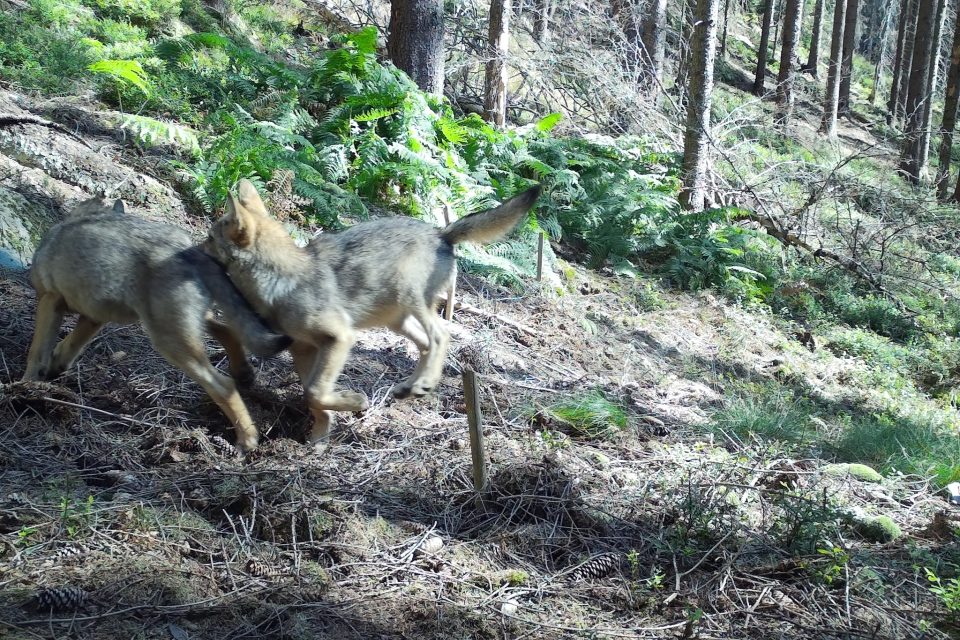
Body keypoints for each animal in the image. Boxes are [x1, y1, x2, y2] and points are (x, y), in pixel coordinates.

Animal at [19, 198, 288, 452]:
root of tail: (187, 250)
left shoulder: (50, 301)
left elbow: (36, 352)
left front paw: (24, 389)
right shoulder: (94, 318)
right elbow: (67, 348)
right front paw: (51, 372)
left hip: (170, 342)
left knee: (224, 386)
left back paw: (247, 439)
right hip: (185, 326)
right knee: (230, 332)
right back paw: (243, 374)